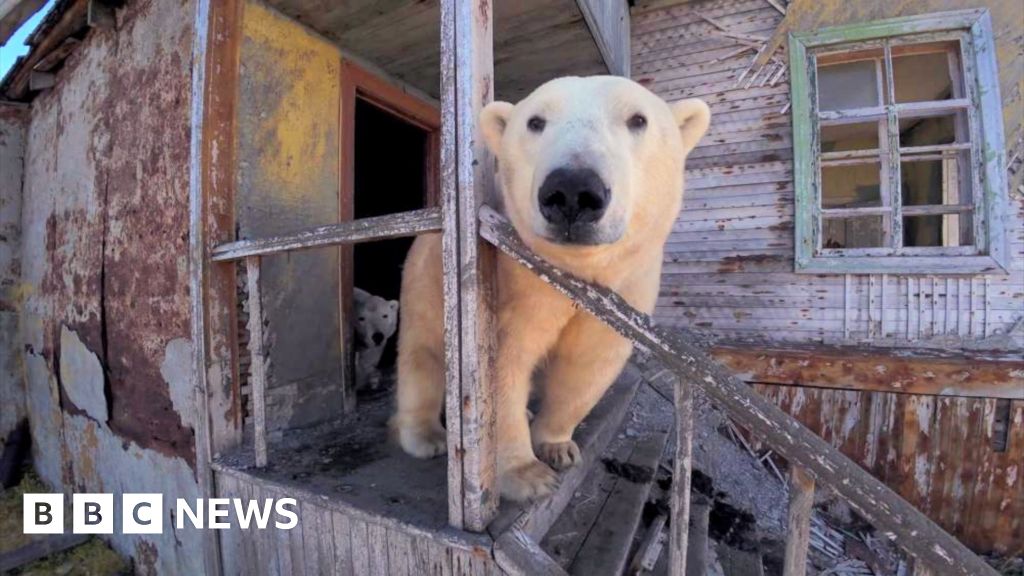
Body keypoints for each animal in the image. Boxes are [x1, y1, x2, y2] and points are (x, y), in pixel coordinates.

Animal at [392, 76, 710, 501]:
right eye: (535, 121)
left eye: (638, 119)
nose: (573, 190)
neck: (573, 271)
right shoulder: (514, 287)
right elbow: (501, 367)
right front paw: (528, 475)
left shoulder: (625, 288)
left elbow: (587, 364)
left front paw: (557, 447)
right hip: (424, 282)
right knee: (421, 355)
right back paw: (427, 437)